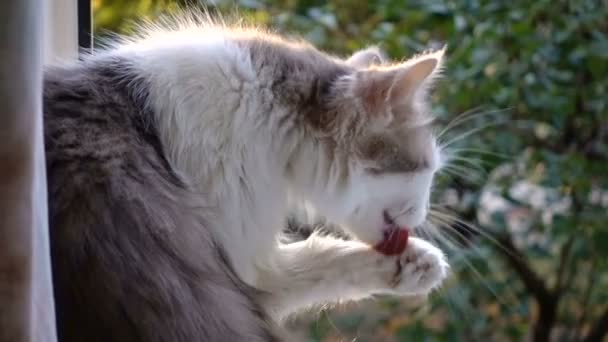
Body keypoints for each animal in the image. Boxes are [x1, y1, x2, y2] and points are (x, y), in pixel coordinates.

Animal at [42, 12, 448, 340]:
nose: (425, 213)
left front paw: (416, 262)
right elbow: (321, 253)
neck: (263, 107)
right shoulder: (245, 265)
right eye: (426, 168)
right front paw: (424, 262)